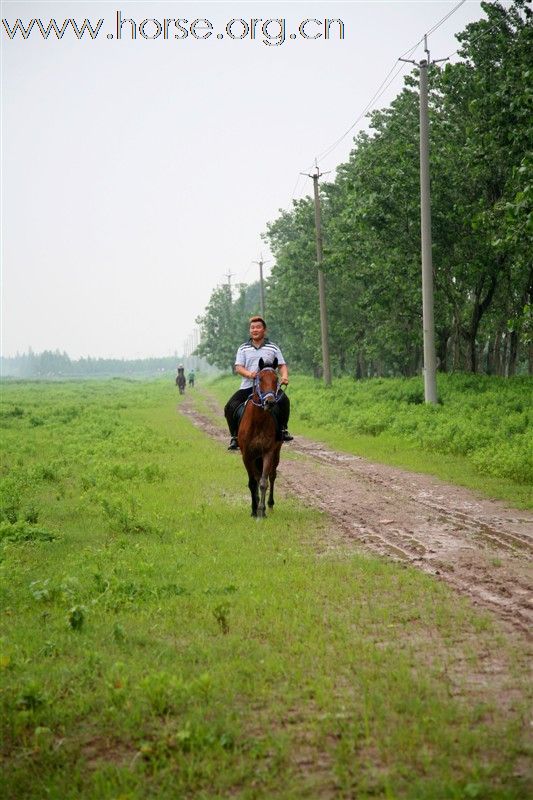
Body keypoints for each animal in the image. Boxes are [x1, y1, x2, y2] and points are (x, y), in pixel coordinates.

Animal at [238, 358, 282, 520]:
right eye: (260, 379)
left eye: (276, 379)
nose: (270, 402)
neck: (258, 421)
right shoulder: (246, 455)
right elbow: (252, 482)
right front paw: (254, 509)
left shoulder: (268, 452)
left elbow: (263, 481)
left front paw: (261, 511)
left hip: (276, 452)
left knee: (272, 475)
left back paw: (270, 504)